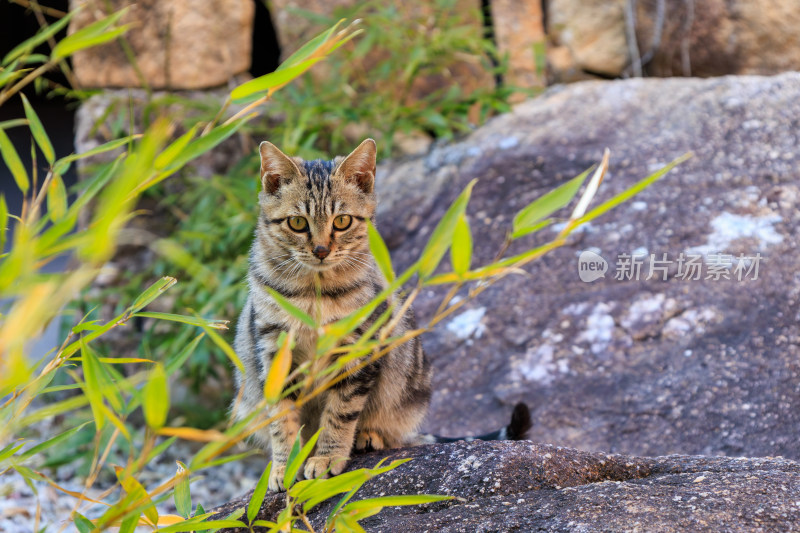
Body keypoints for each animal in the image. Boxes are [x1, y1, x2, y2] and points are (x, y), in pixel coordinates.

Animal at [231, 138, 532, 490]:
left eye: (342, 221)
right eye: (297, 223)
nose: (321, 251)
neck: (313, 295)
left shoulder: (358, 349)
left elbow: (340, 412)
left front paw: (326, 458)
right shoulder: (274, 349)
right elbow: (282, 418)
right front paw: (286, 464)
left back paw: (367, 436)